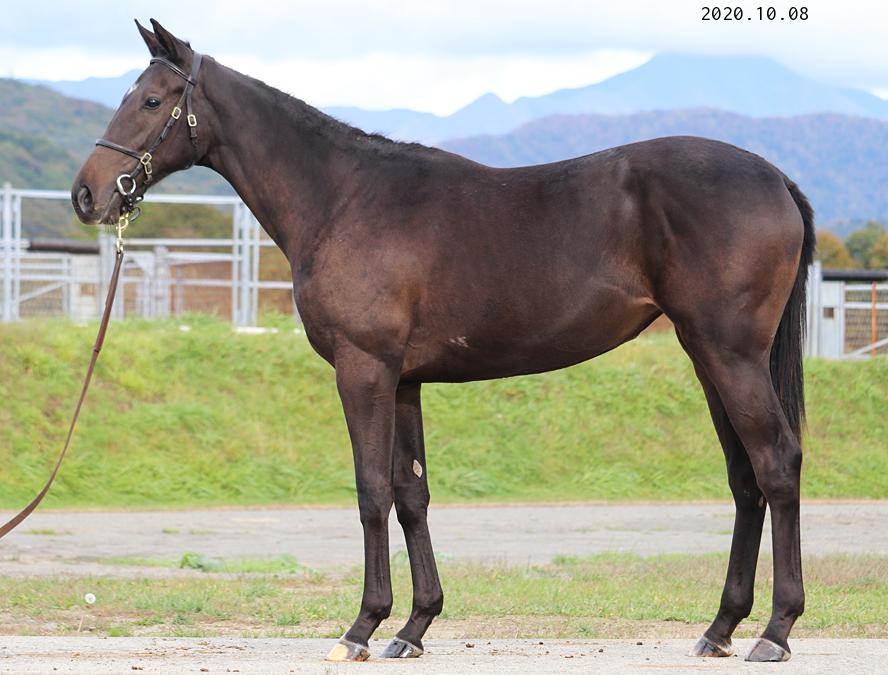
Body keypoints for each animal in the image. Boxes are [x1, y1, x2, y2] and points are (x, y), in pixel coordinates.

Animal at [72, 19, 814, 663]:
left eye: (152, 99)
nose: (87, 195)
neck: (342, 198)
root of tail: (775, 178)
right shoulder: (404, 379)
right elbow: (412, 493)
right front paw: (414, 625)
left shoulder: (363, 369)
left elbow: (371, 489)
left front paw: (362, 627)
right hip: (708, 357)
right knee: (745, 477)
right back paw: (720, 628)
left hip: (730, 355)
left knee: (776, 463)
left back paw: (774, 631)